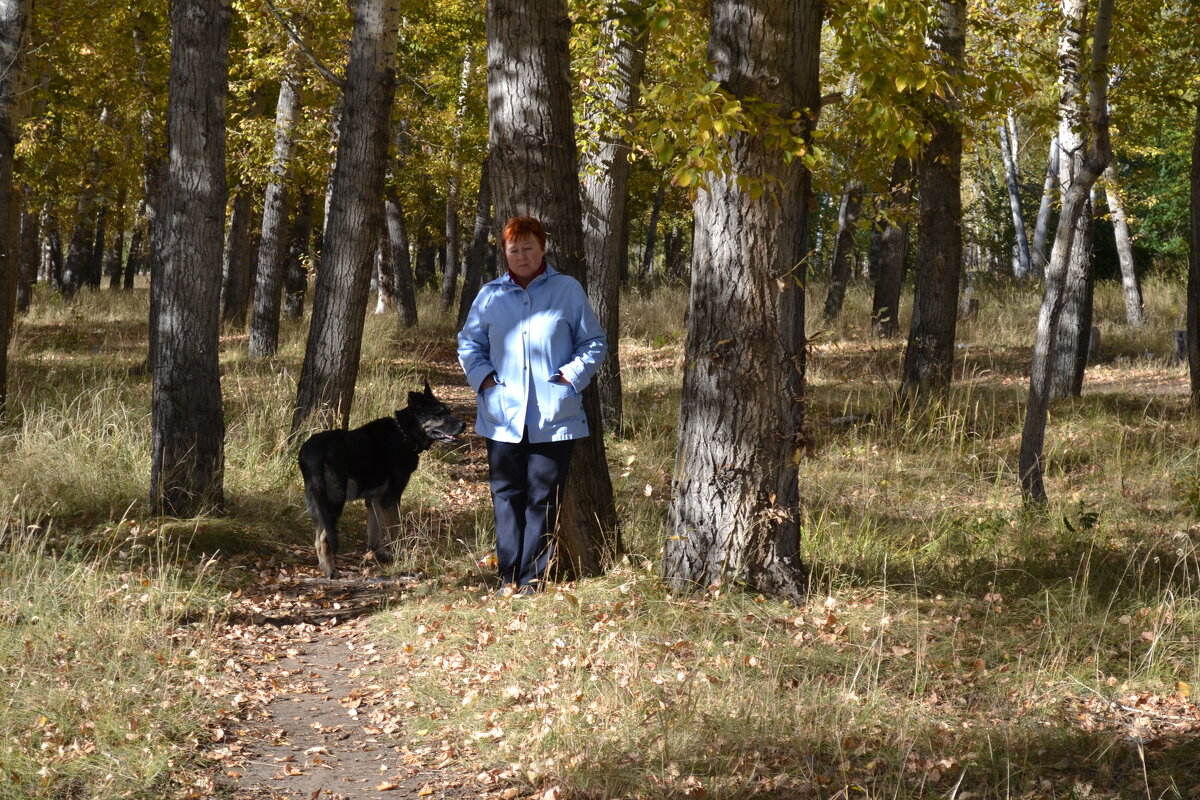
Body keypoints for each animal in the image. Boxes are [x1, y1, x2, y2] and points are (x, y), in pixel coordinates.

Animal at [297, 383, 465, 578]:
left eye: (448, 411)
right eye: (438, 414)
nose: (464, 425)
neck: (404, 433)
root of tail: (312, 452)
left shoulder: (374, 500)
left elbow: (375, 531)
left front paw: (379, 554)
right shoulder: (391, 498)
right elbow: (396, 531)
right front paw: (400, 555)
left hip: (317, 506)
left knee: (317, 539)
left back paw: (325, 567)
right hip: (334, 502)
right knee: (324, 538)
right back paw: (331, 570)